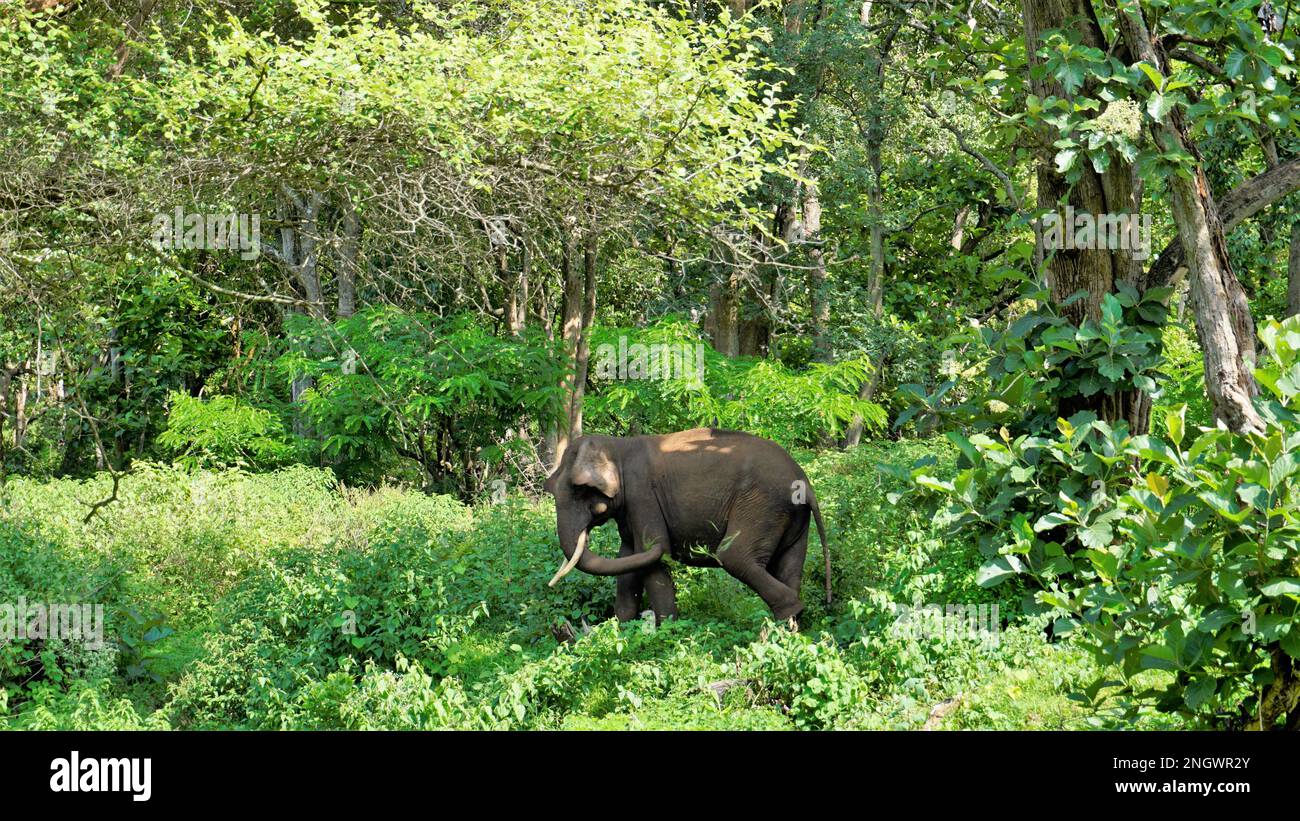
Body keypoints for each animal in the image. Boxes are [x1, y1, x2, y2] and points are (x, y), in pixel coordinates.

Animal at [540, 428, 832, 620]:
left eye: (579, 490)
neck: (617, 447)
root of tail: (804, 482)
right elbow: (628, 558)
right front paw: (624, 630)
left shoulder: (642, 494)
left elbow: (651, 556)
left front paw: (666, 631)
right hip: (791, 517)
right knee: (789, 566)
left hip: (762, 505)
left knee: (734, 556)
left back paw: (790, 613)